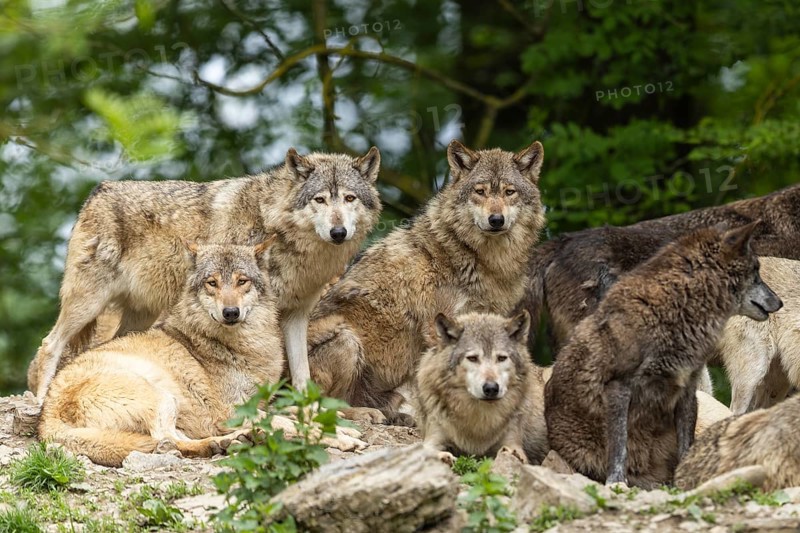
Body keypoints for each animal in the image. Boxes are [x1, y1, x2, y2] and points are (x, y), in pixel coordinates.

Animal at [28, 147, 382, 399]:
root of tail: (97, 191)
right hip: (88, 303)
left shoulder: (295, 315)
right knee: (50, 345)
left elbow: (302, 374)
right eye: (320, 199)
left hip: (139, 316)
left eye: (349, 198)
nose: (339, 232)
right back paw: (41, 399)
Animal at [37, 241, 285, 467]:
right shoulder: (231, 411)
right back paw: (225, 442)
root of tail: (45, 421)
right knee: (165, 440)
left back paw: (231, 441)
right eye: (212, 283)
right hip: (161, 396)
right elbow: (280, 420)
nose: (231, 312)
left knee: (172, 440)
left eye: (241, 281)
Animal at [308, 139, 546, 423]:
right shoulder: (437, 326)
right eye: (480, 191)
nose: (496, 220)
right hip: (347, 340)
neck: (478, 256)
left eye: (510, 192)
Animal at [416, 311, 548, 464]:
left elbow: (512, 452)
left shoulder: (513, 442)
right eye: (472, 358)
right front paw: (444, 456)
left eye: (501, 358)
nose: (491, 388)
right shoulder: (433, 438)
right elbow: (423, 450)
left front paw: (511, 454)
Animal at [544, 222, 783, 489]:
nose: (780, 302)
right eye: (757, 272)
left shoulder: (687, 390)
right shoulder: (619, 387)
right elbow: (619, 445)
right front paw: (616, 482)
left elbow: (686, 445)